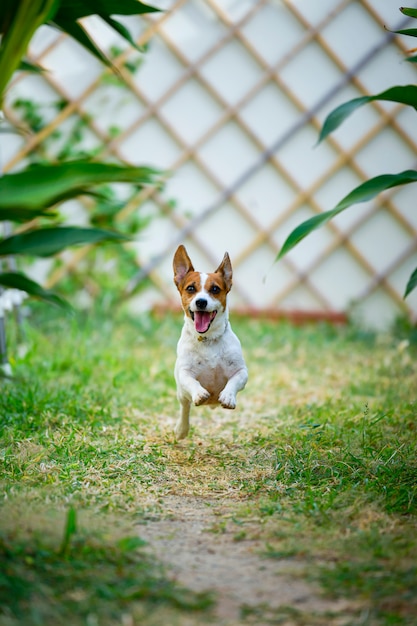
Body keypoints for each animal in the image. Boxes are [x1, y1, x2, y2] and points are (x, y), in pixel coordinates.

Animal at [172, 244, 247, 438]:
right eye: (191, 288)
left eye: (215, 289)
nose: (201, 302)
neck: (208, 339)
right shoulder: (184, 372)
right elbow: (192, 381)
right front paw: (199, 393)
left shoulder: (241, 371)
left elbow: (235, 381)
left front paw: (228, 396)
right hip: (181, 394)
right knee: (184, 407)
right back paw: (181, 429)